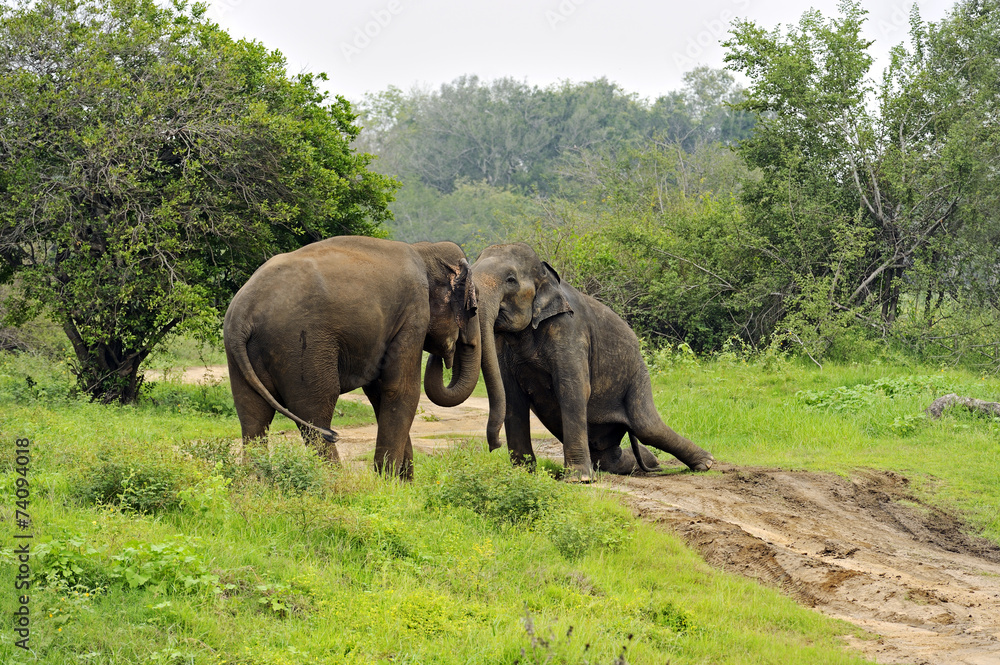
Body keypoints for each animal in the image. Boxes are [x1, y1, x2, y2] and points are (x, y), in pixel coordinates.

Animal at [223, 236, 480, 479]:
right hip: (300, 346)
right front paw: (387, 483)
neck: (424, 249)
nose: (445, 355)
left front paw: (400, 483)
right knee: (315, 415)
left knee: (253, 416)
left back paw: (255, 482)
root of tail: (241, 314)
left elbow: (379, 392)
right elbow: (401, 389)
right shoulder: (413, 313)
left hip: (241, 356)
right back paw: (336, 482)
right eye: (473, 309)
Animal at [454, 242, 714, 481]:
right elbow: (513, 398)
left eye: (510, 279)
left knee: (647, 426)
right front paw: (523, 475)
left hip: (638, 375)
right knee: (611, 456)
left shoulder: (570, 330)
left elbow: (572, 388)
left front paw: (579, 479)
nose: (493, 446)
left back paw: (706, 463)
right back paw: (652, 462)